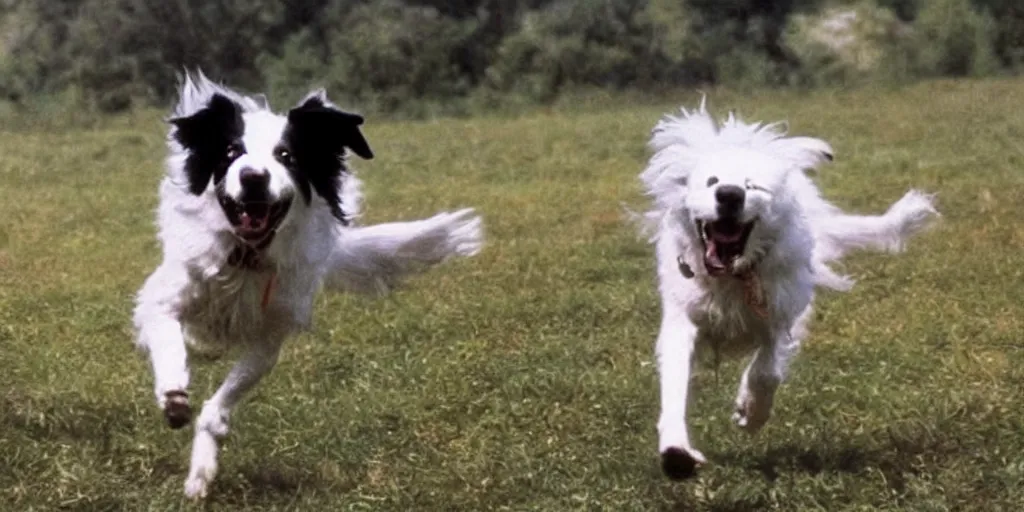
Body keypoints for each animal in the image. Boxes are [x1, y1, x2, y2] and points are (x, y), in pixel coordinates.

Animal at [133, 74, 483, 497]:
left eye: (286, 156)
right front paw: (173, 396)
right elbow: (168, 338)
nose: (253, 177)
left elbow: (220, 405)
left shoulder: (271, 336)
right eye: (231, 152)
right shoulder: (166, 295)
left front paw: (201, 470)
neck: (247, 258)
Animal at [634, 102, 937, 479]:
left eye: (752, 186)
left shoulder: (780, 318)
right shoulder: (683, 319)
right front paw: (676, 453)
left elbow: (767, 371)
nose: (730, 194)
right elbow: (674, 385)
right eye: (711, 181)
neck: (733, 278)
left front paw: (749, 412)